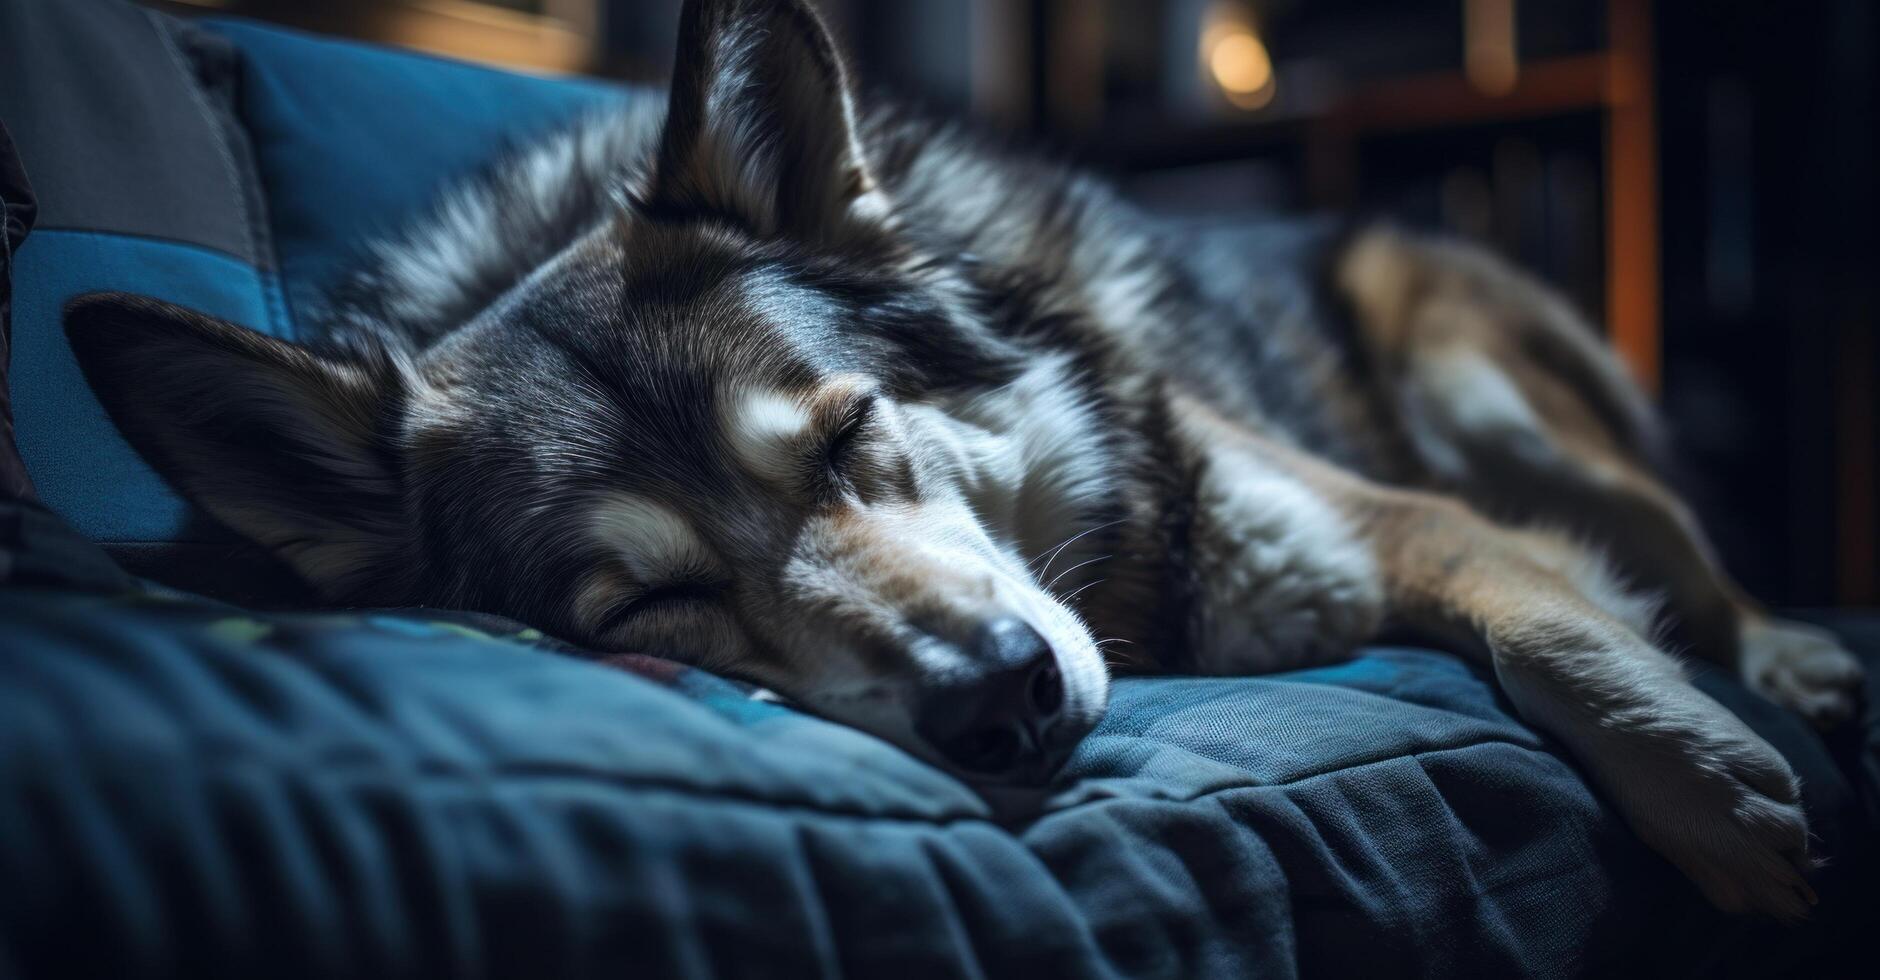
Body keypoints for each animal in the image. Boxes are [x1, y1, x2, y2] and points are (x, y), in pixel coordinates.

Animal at [66, 0, 1857, 917]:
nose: (1004, 699)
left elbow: (1557, 632)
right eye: (642, 617)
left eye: (853, 432)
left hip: (1489, 398)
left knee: (1695, 553)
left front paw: (1712, 785)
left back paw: (1794, 660)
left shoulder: (1387, 521)